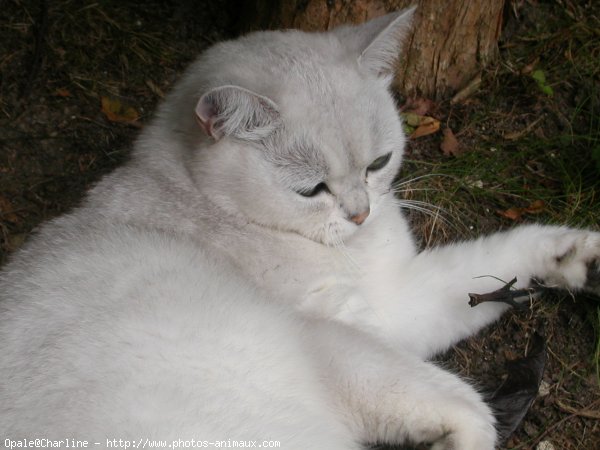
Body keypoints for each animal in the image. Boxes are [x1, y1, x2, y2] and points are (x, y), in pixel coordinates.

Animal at [1, 7, 600, 450]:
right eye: (312, 190)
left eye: (379, 163)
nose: (359, 213)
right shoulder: (335, 335)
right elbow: (461, 404)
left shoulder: (394, 302)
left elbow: (490, 264)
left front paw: (580, 258)